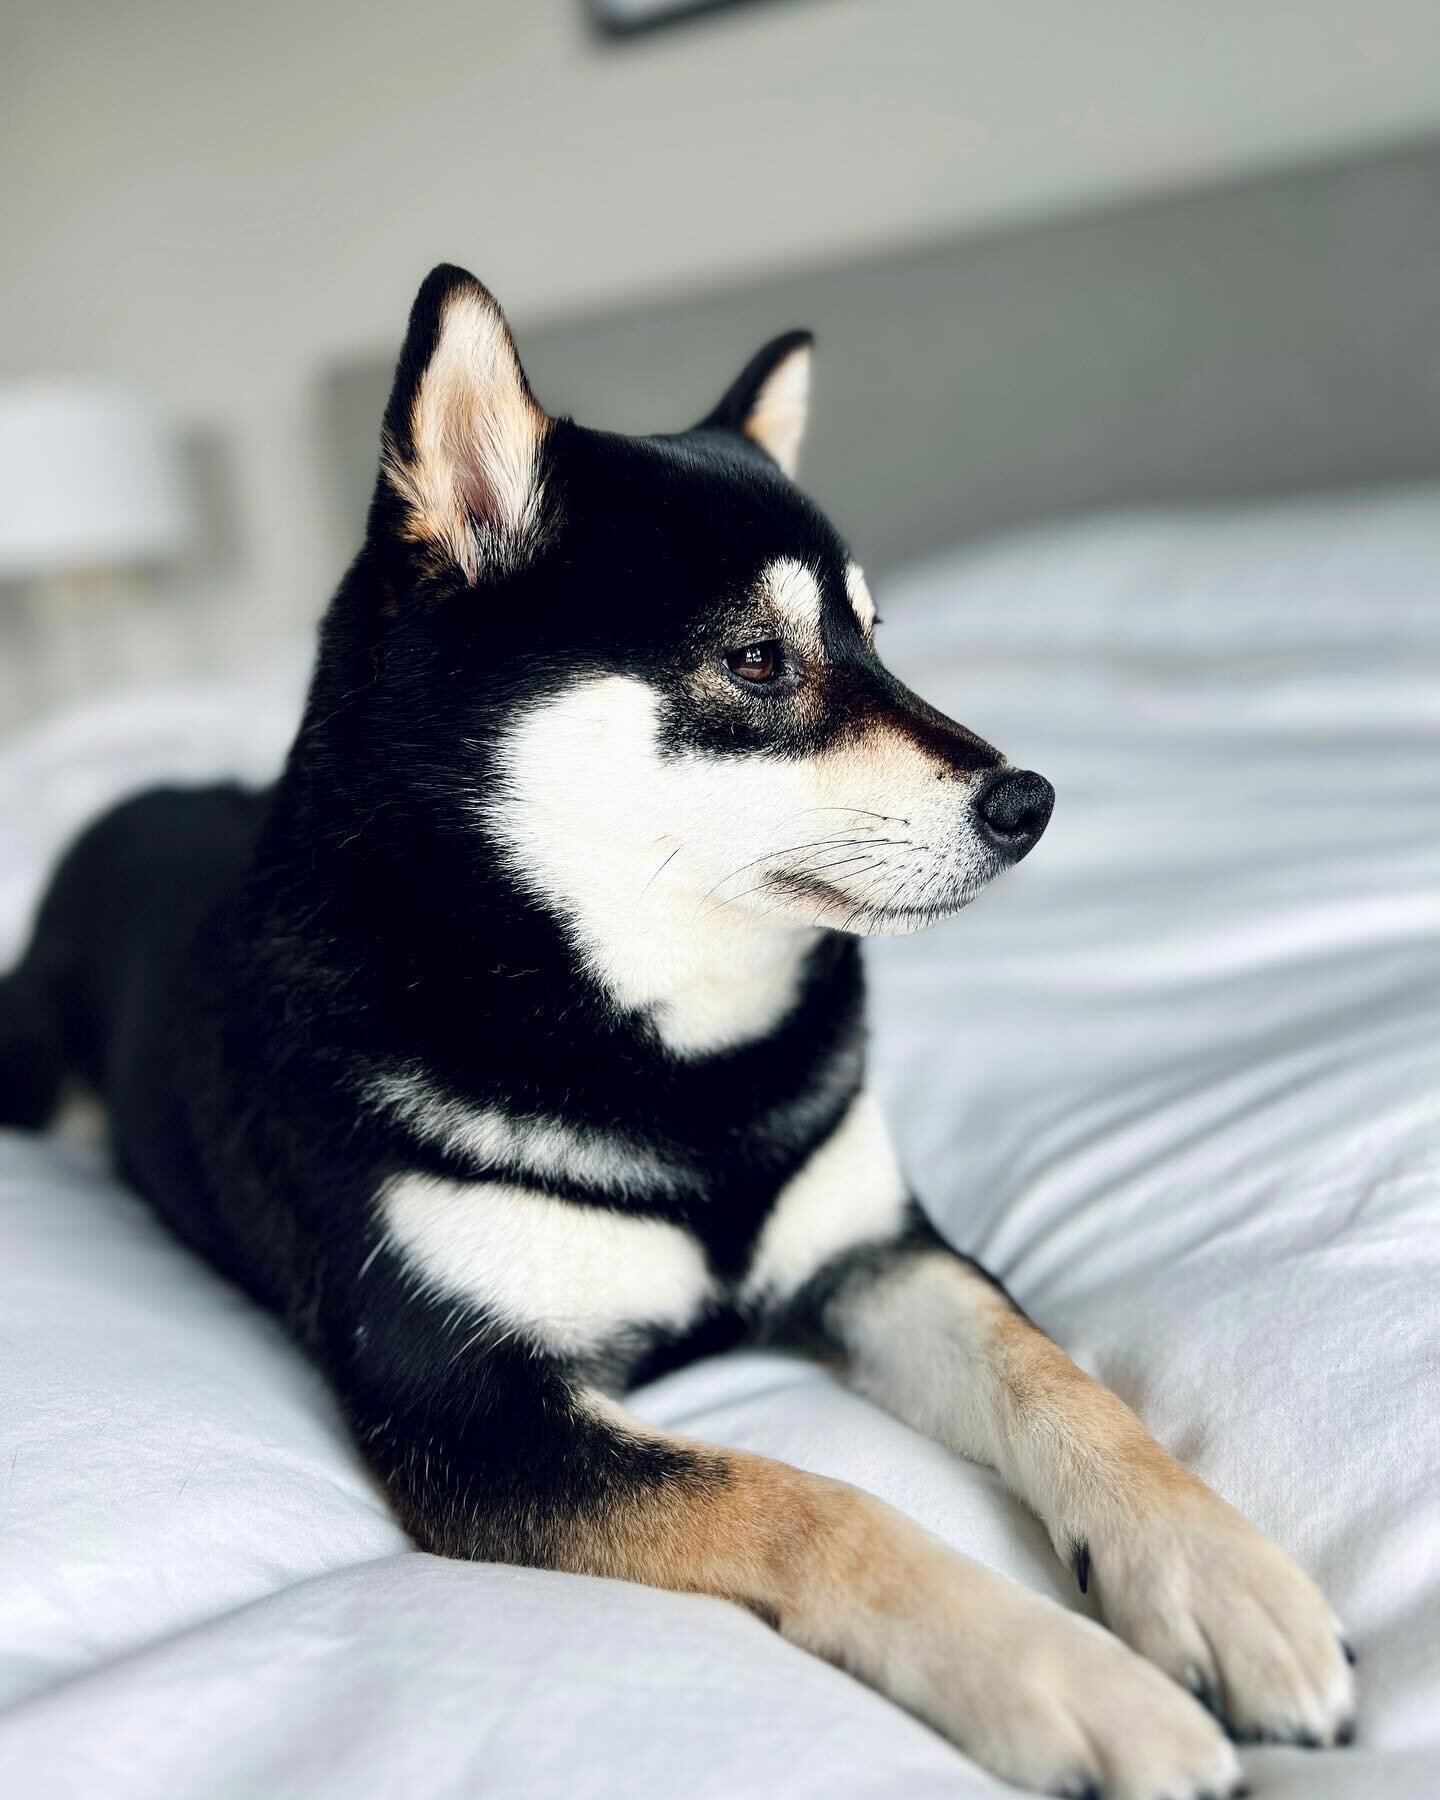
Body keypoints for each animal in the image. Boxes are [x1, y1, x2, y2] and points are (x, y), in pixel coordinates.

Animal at [0, 266, 1353, 1800]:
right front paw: (1072, 1682)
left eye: (876, 637)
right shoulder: (471, 1410)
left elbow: (1064, 1384)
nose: (1032, 802)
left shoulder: (874, 1256)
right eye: (759, 659)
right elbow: (806, 1503)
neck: (665, 1046)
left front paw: (1221, 1579)